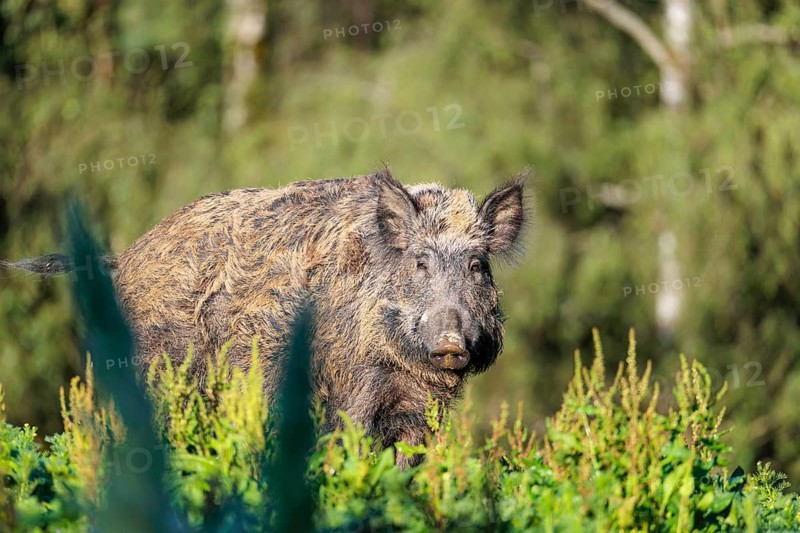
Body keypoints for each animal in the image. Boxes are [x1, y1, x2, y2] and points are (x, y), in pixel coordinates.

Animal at [2, 169, 528, 467]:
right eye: (420, 263)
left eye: (477, 265)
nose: (452, 340)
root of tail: (126, 256)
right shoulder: (352, 390)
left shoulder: (421, 411)